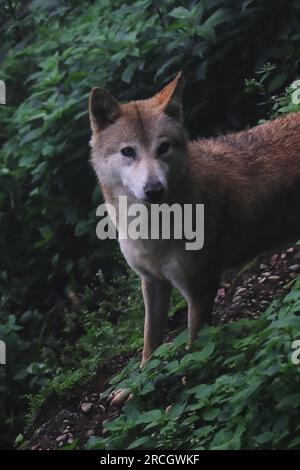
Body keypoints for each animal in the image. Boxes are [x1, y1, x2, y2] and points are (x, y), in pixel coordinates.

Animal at [88, 72, 300, 374]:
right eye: (128, 151)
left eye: (163, 147)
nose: (154, 189)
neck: (153, 229)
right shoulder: (152, 283)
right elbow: (149, 345)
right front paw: (141, 381)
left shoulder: (200, 290)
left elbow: (195, 353)